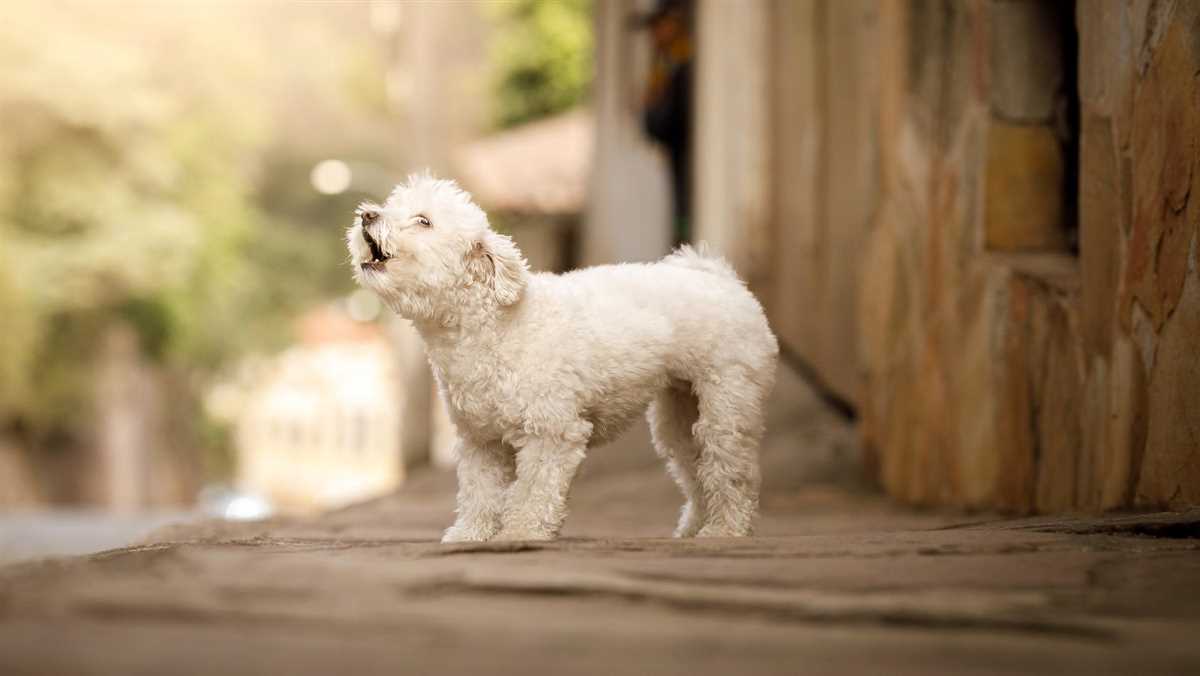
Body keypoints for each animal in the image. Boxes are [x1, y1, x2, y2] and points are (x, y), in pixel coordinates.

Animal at [348, 176, 777, 545]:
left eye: (424, 221)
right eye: (390, 206)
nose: (367, 214)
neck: (492, 327)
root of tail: (722, 280)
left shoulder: (552, 432)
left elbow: (533, 490)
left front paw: (520, 533)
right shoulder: (480, 441)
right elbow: (479, 493)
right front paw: (470, 534)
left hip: (727, 404)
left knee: (731, 470)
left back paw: (725, 529)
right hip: (679, 415)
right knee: (693, 465)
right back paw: (694, 526)